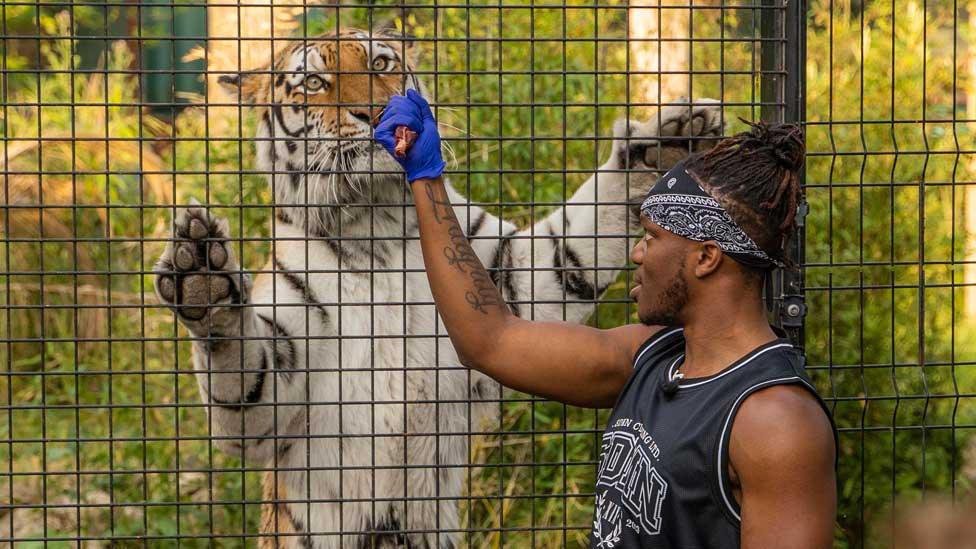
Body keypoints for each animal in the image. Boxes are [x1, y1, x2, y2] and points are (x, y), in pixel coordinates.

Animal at [152, 26, 724, 548]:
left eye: (381, 64)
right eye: (314, 83)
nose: (374, 113)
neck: (374, 222)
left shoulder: (508, 278)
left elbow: (577, 235)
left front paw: (667, 147)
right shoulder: (282, 386)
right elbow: (241, 367)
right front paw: (203, 279)